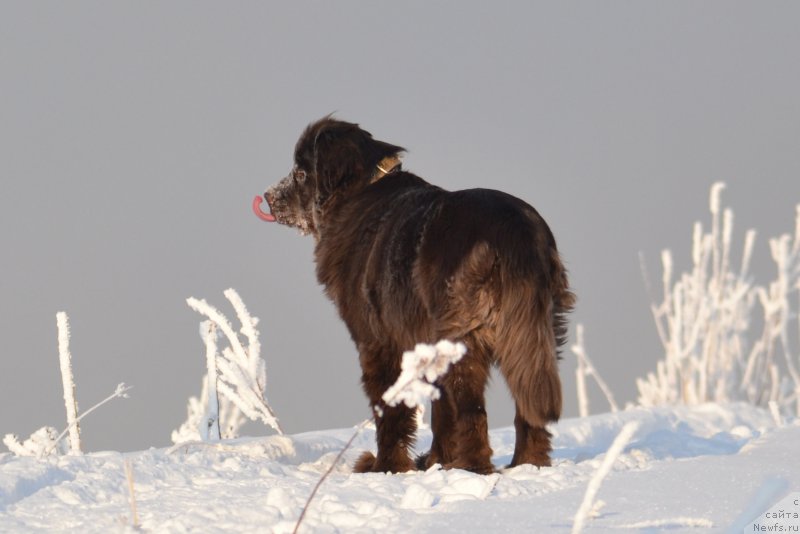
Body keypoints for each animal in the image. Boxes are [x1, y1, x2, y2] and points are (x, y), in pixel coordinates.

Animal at [264, 118, 576, 478]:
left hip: (464, 338)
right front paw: (435, 462)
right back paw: (527, 466)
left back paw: (472, 469)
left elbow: (391, 410)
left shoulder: (377, 342)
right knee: (527, 409)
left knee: (473, 410)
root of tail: (513, 233)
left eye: (301, 173)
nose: (268, 197)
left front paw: (386, 468)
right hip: (538, 333)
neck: (359, 192)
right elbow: (441, 411)